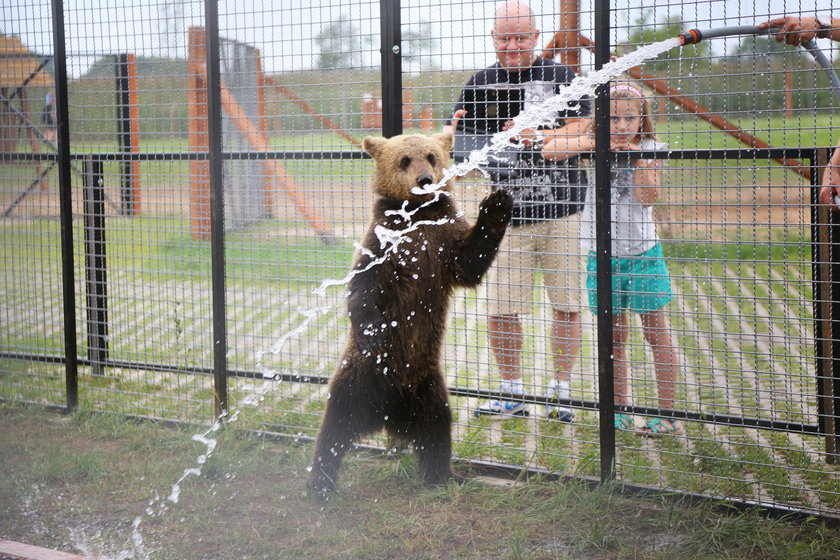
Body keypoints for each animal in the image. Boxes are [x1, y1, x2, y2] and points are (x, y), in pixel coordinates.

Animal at [308, 131, 512, 490]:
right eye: (404, 160)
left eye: (431, 156)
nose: (425, 180)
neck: (415, 215)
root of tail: (389, 415)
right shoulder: (383, 242)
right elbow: (362, 285)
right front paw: (373, 331)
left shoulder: (443, 241)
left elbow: (470, 261)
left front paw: (498, 203)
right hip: (359, 376)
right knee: (334, 426)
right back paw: (321, 483)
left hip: (428, 385)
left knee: (437, 429)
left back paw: (444, 475)